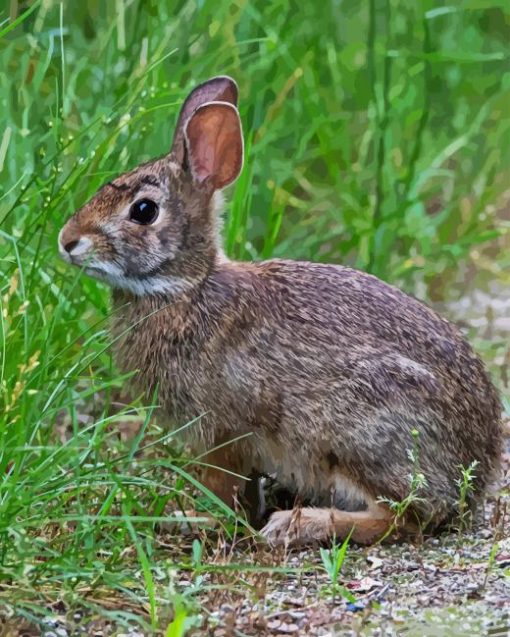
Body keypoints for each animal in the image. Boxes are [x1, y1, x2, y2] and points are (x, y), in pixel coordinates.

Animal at [59, 73, 502, 540]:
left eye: (143, 211)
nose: (67, 240)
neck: (186, 288)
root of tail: (476, 474)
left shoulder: (220, 431)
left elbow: (221, 485)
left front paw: (194, 519)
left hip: (358, 432)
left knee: (402, 517)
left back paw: (298, 524)